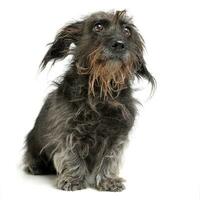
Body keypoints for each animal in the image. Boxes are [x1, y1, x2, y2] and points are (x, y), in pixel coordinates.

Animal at [23, 10, 155, 191]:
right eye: (98, 26)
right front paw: (73, 179)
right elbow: (71, 154)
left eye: (127, 30)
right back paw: (35, 166)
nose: (119, 44)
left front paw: (108, 180)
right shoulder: (67, 130)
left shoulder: (117, 134)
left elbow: (110, 157)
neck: (102, 89)